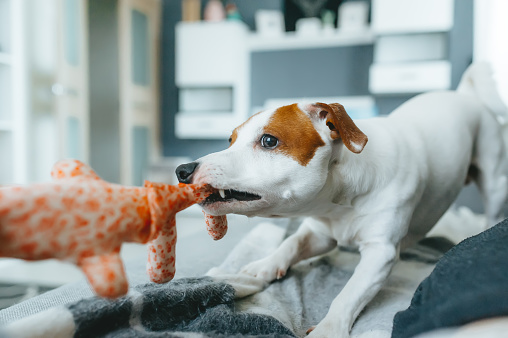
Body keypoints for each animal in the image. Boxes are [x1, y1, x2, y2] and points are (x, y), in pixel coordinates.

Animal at [176, 63, 508, 336]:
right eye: (230, 140)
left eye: (269, 140)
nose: (182, 170)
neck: (341, 195)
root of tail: (463, 94)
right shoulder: (320, 233)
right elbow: (291, 243)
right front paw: (265, 265)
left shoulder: (380, 253)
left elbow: (348, 295)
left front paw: (328, 328)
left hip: (494, 181)